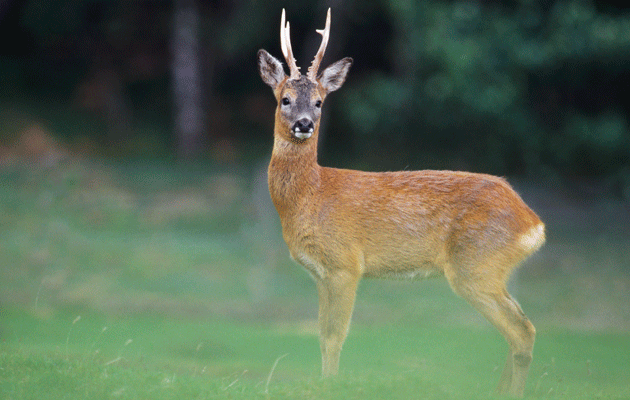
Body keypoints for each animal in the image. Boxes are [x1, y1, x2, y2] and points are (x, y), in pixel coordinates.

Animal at [260, 8, 544, 396]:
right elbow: (320, 334)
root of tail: (533, 223)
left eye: (319, 102)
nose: (304, 124)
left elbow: (334, 336)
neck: (310, 196)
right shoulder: (320, 274)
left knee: (522, 330)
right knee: (517, 330)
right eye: (284, 99)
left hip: (477, 264)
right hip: (492, 269)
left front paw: (331, 385)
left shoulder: (346, 264)